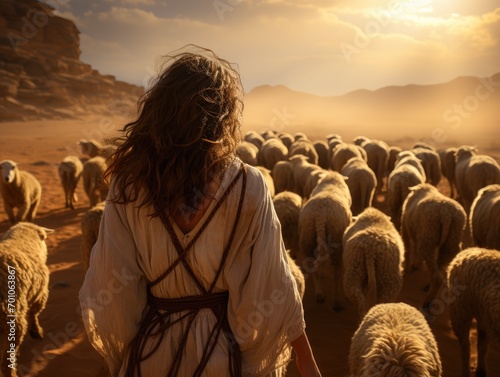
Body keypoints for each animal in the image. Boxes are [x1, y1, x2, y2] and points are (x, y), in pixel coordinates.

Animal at [296, 170, 352, 308]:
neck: (331, 181)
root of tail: (320, 215)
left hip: (307, 237)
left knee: (313, 267)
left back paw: (319, 294)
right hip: (336, 237)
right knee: (336, 272)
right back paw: (337, 301)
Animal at [400, 182, 466, 314]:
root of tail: (446, 215)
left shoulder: (405, 227)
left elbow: (408, 248)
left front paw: (408, 269)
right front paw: (416, 265)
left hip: (429, 237)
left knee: (436, 276)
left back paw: (427, 302)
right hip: (451, 240)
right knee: (438, 267)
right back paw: (428, 287)